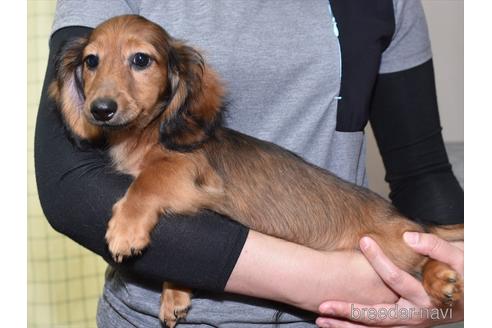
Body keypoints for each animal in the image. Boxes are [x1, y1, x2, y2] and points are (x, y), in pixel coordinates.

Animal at [51, 14, 466, 326]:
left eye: (140, 60)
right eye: (91, 61)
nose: (100, 109)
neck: (146, 133)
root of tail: (407, 219)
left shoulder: (186, 170)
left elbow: (145, 184)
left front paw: (125, 228)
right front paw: (175, 293)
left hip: (395, 246)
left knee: (426, 253)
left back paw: (440, 277)